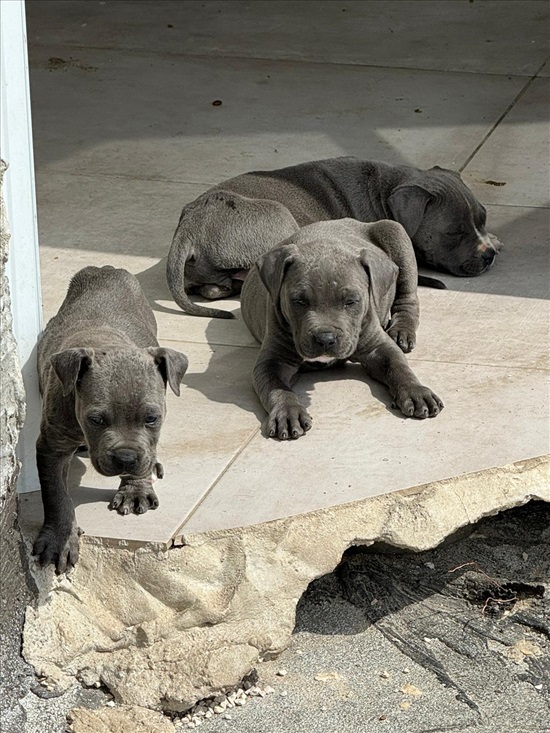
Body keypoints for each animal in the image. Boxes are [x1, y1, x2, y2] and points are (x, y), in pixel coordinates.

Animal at [35, 266, 190, 576]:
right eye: (95, 419)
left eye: (152, 418)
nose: (126, 458)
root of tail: (105, 269)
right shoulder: (51, 446)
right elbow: (56, 494)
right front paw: (60, 538)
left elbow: (146, 453)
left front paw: (135, 488)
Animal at [167, 157, 500, 318]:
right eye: (453, 233)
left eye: (483, 218)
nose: (488, 256)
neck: (385, 189)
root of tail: (189, 226)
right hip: (278, 215)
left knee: (212, 287)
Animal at [242, 214, 444, 438]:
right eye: (299, 301)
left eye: (351, 301)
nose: (325, 339)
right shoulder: (272, 361)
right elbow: (277, 388)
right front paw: (288, 412)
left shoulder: (379, 347)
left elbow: (398, 367)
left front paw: (416, 392)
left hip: (396, 234)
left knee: (408, 298)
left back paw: (402, 331)